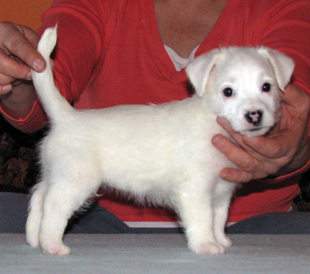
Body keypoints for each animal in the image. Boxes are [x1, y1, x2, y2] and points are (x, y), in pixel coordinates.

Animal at [26, 26, 294, 256]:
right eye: (228, 92)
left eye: (267, 87)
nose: (255, 115)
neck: (212, 119)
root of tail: (65, 116)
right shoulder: (196, 189)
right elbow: (203, 218)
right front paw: (206, 244)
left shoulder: (221, 190)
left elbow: (218, 218)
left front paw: (220, 239)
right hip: (75, 180)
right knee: (53, 207)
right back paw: (52, 244)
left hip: (55, 173)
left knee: (39, 197)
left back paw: (33, 238)